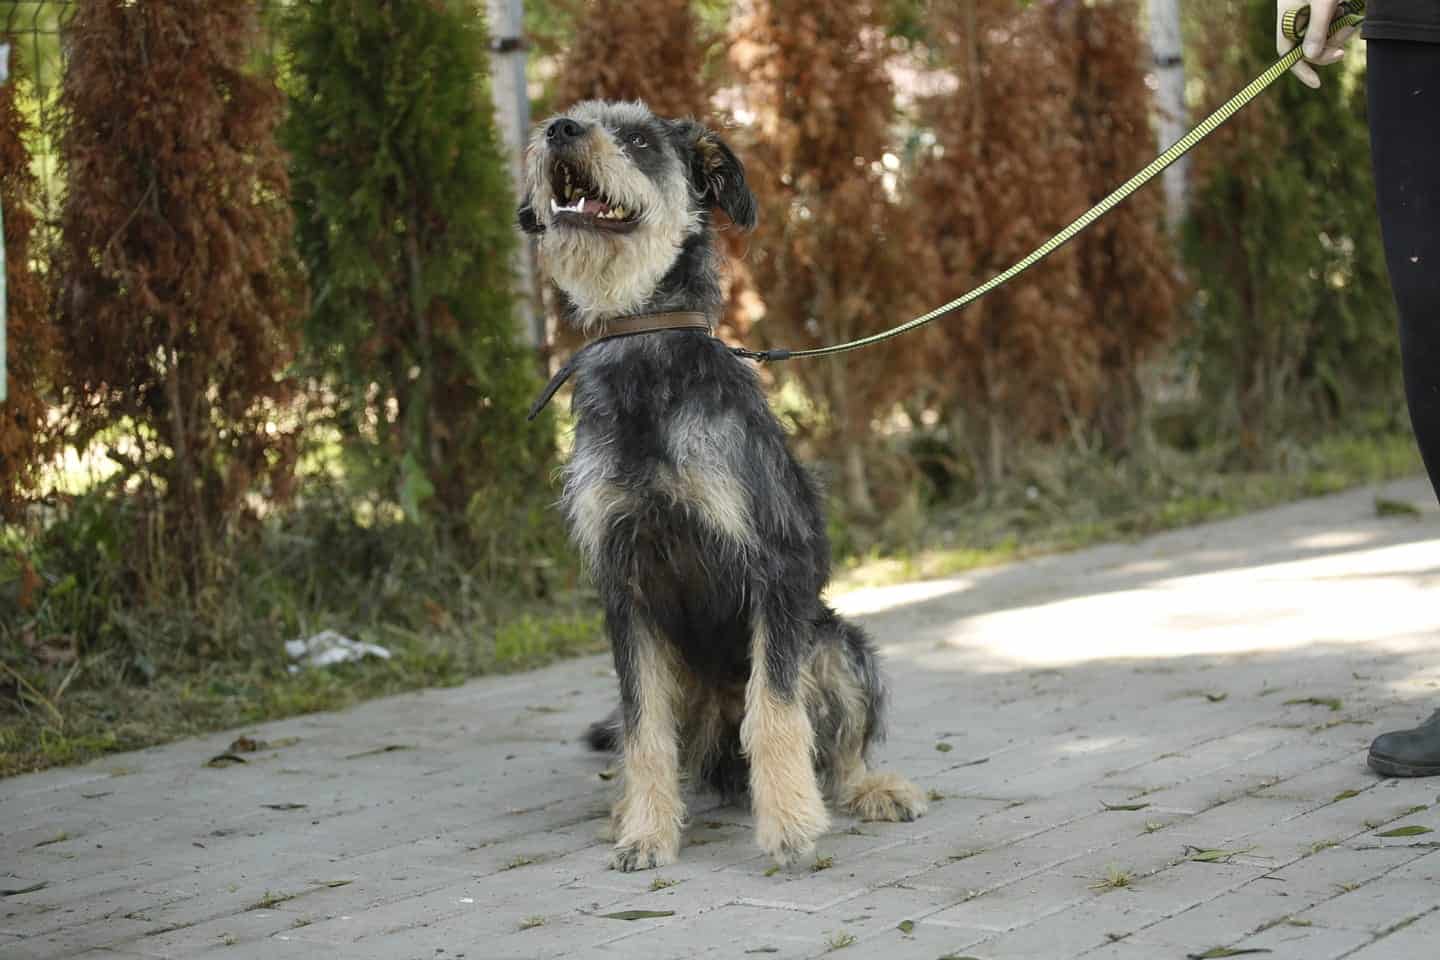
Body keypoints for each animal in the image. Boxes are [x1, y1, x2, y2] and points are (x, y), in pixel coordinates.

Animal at [518, 100, 925, 871]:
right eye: (577, 116)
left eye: (639, 140)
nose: (558, 131)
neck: (645, 354)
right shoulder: (626, 589)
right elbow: (644, 732)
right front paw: (646, 832)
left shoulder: (773, 572)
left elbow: (774, 713)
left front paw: (791, 825)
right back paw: (628, 809)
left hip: (836, 644)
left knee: (842, 750)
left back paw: (873, 789)